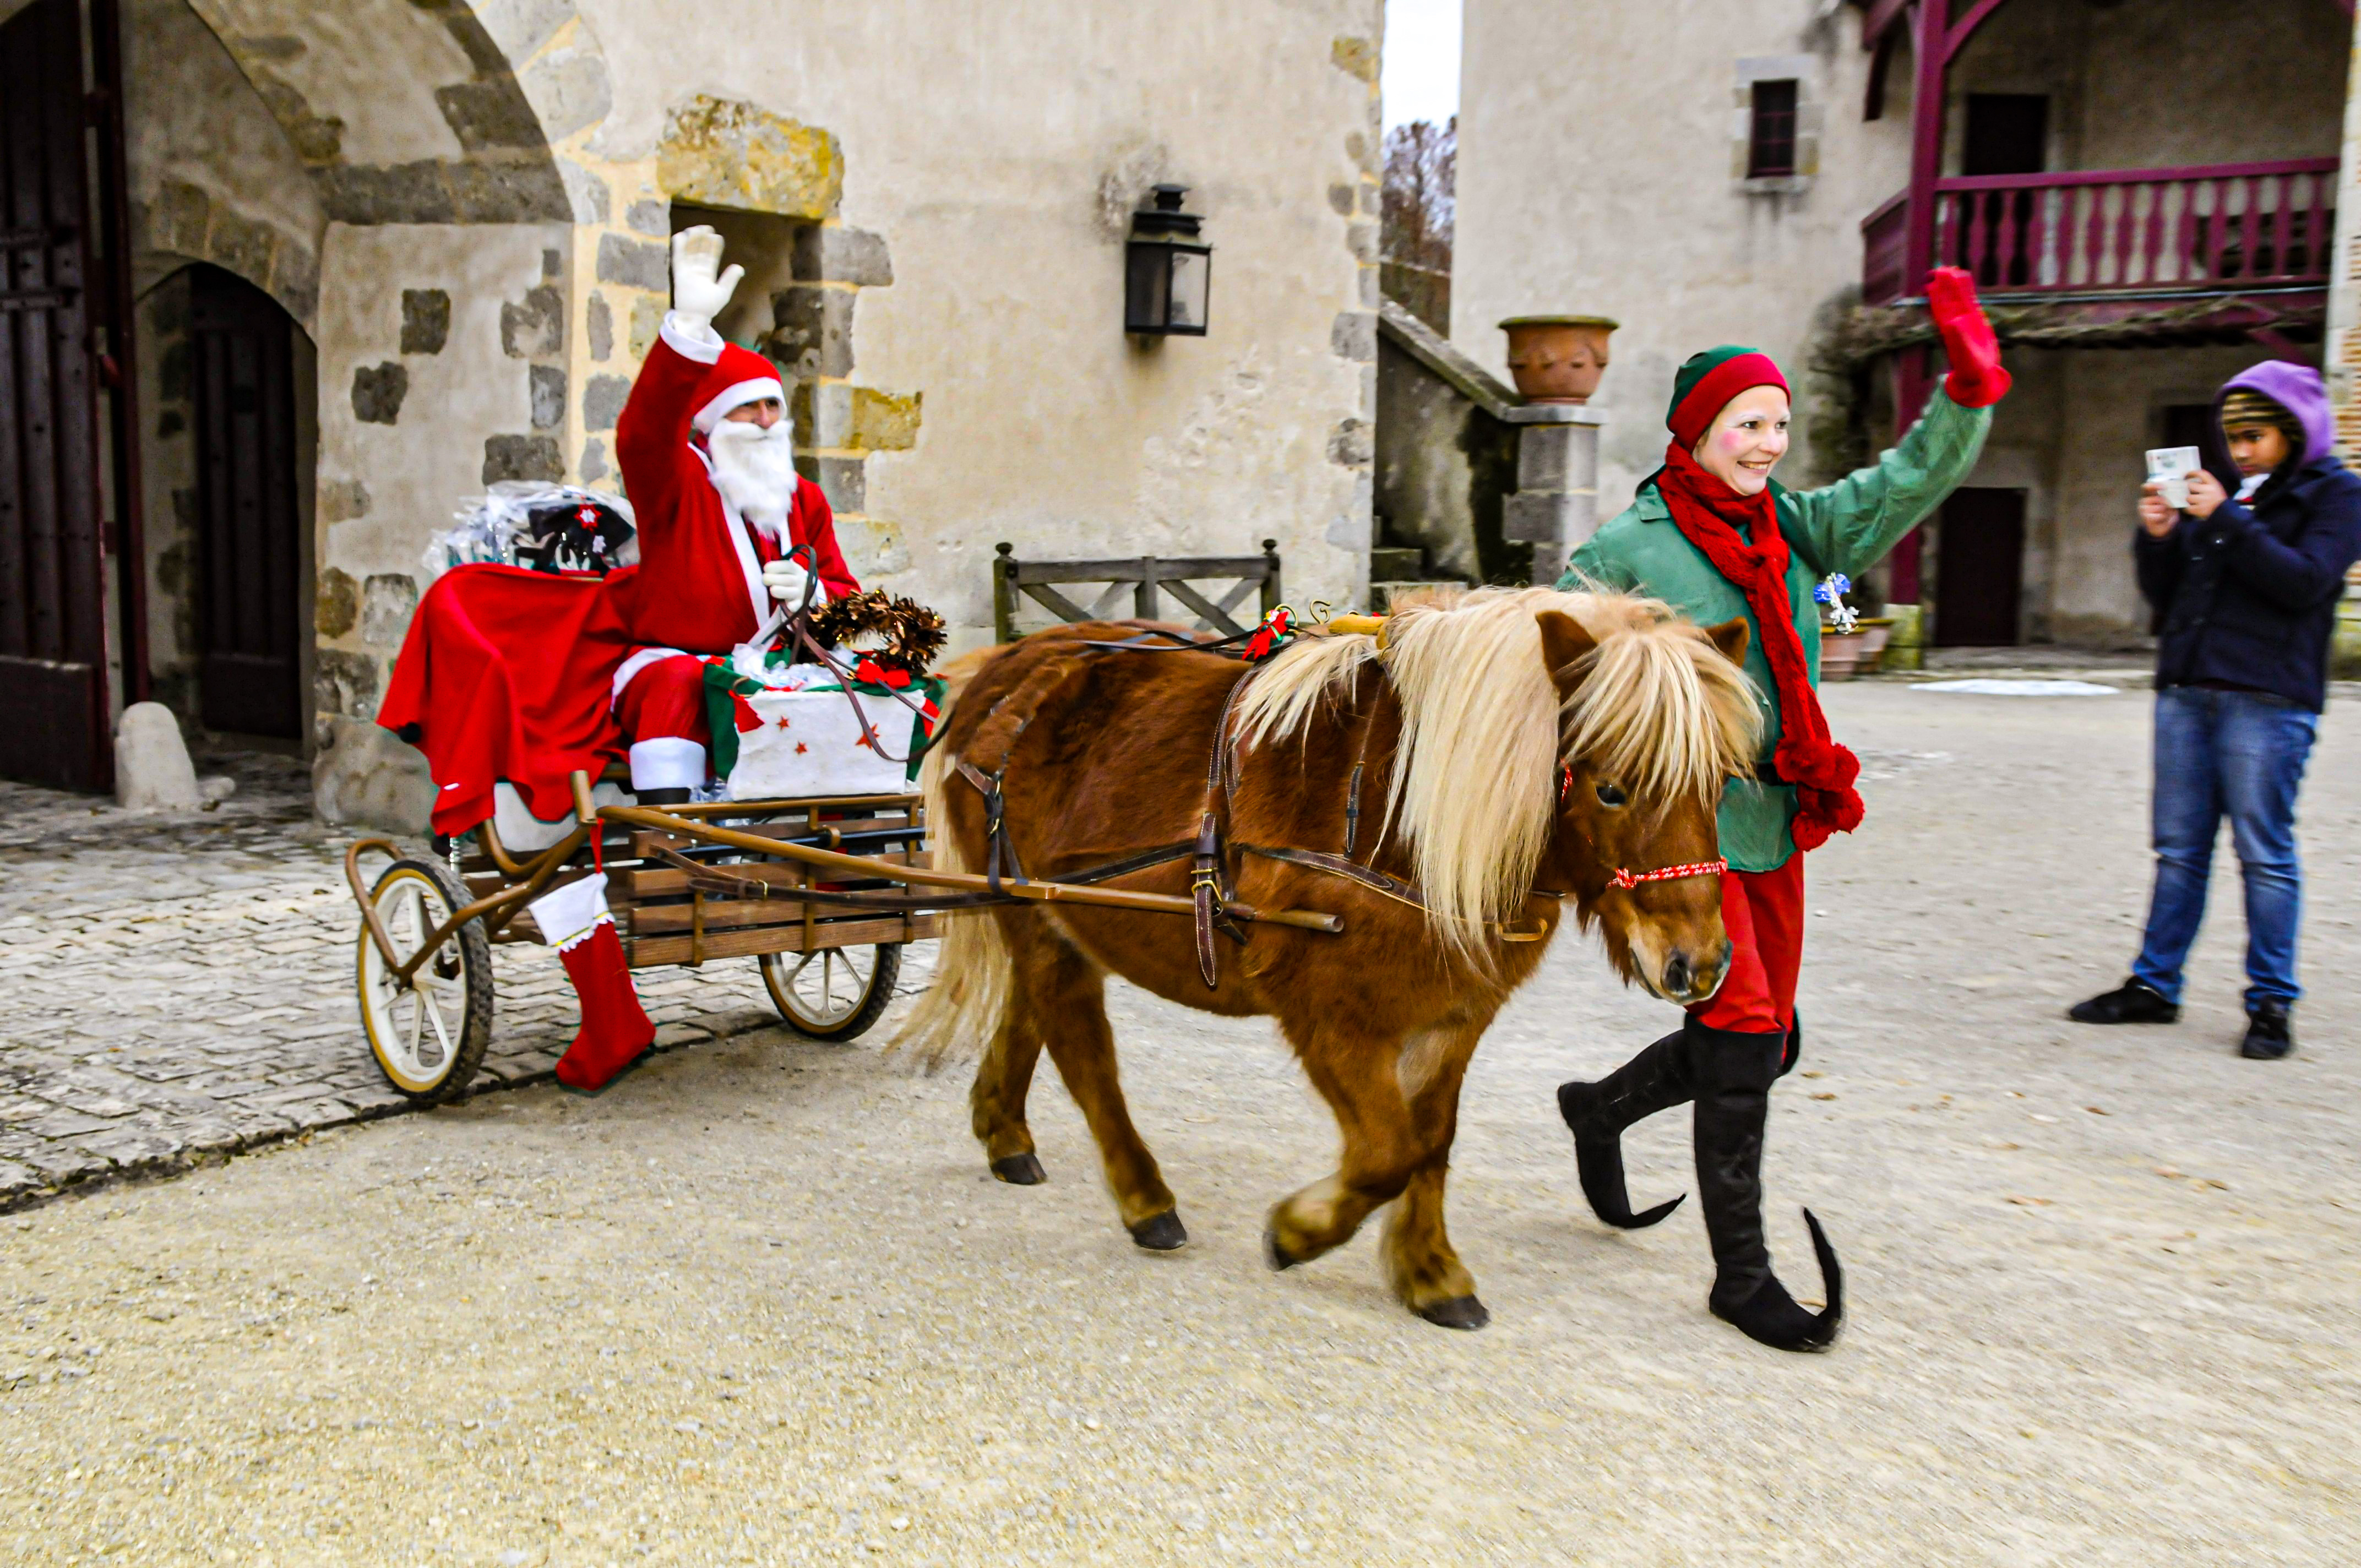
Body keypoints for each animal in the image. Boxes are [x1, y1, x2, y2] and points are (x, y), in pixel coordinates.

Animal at [897, 588, 1756, 1322]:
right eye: (1611, 789)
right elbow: (1386, 1154)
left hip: (1057, 914)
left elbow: (1430, 1144)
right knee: (1084, 1051)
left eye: (1719, 782)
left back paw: (1005, 1133)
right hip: (1042, 922)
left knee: (1033, 1013)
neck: (1395, 813)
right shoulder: (1331, 1019)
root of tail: (1006, 667)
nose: (1699, 964)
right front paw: (1300, 1230)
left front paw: (1430, 1271)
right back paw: (1145, 1200)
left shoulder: (1454, 1016)